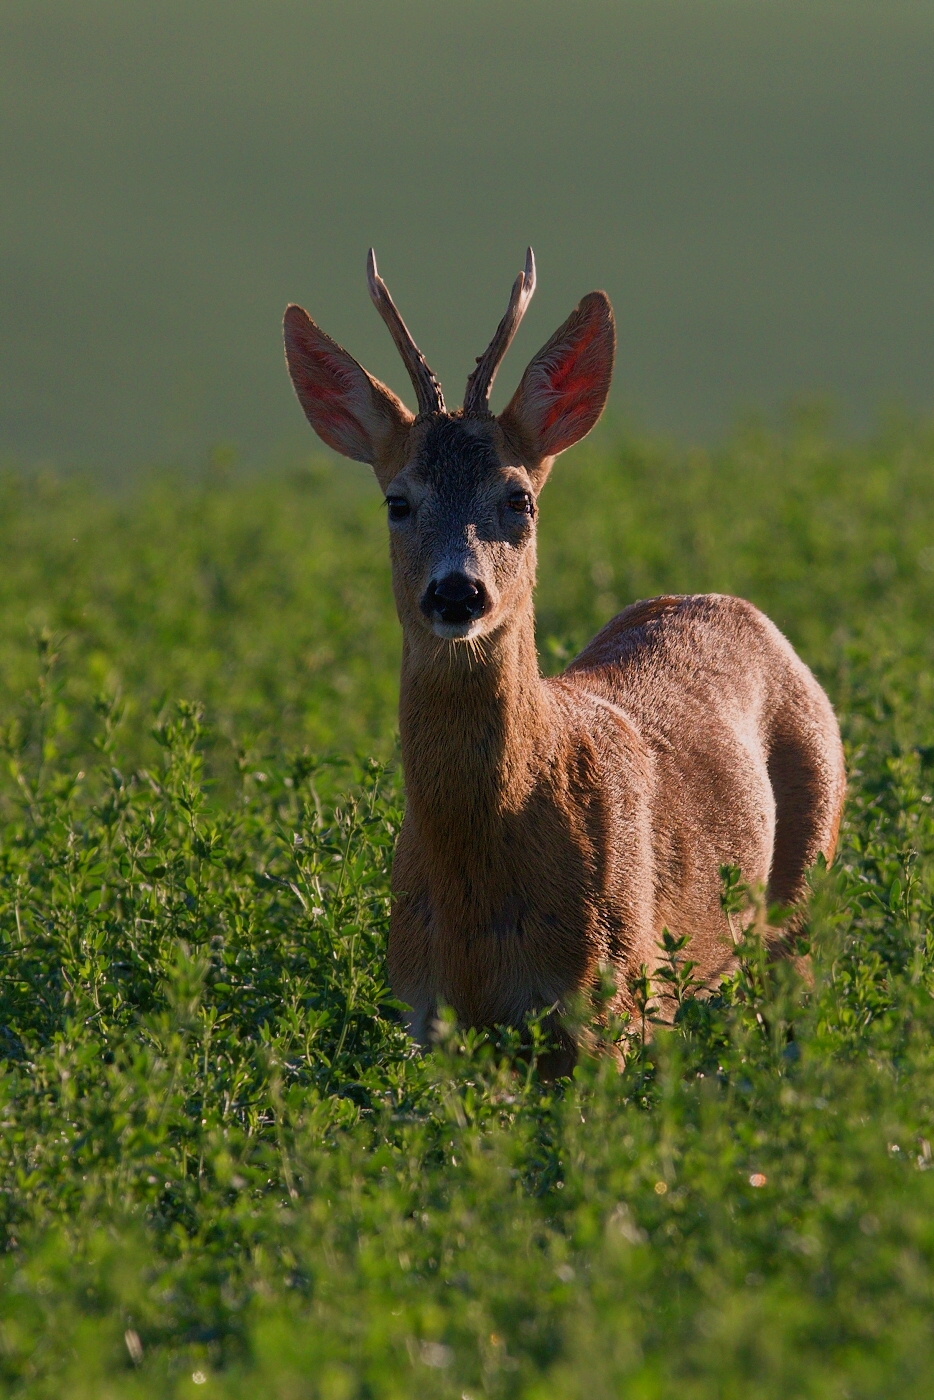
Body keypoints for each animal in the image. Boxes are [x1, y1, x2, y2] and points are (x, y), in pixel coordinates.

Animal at [281, 249, 845, 1058]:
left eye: (519, 497)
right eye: (398, 500)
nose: (458, 592)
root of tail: (743, 611)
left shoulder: (612, 999)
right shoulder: (425, 1016)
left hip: (805, 881)